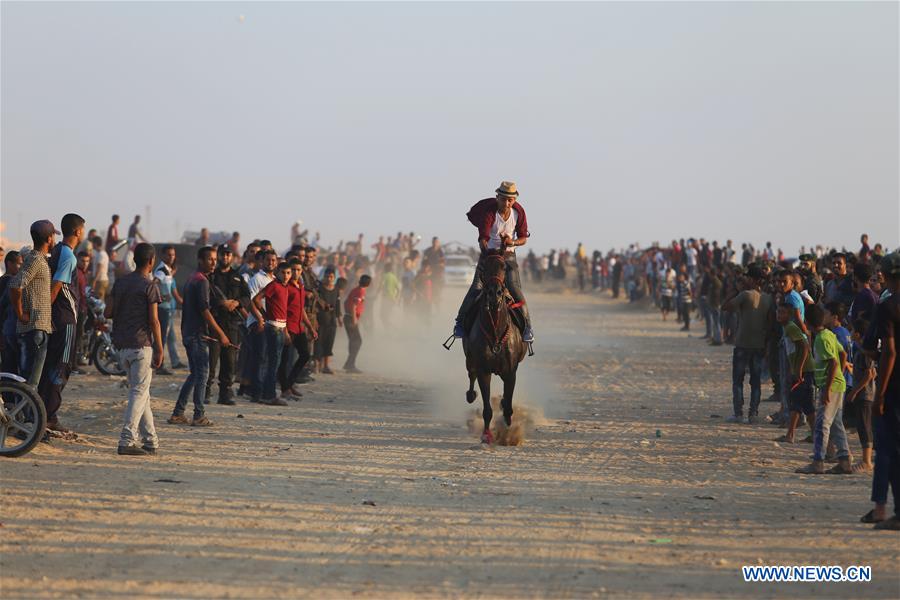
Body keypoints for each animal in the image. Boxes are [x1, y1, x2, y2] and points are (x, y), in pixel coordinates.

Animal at [464, 251, 528, 442]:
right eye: (483, 266)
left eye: (504, 267)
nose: (495, 293)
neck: (495, 334)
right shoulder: (484, 371)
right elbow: (487, 408)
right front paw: (487, 435)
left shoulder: (511, 372)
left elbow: (508, 404)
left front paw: (506, 425)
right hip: (470, 359)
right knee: (471, 375)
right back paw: (471, 395)